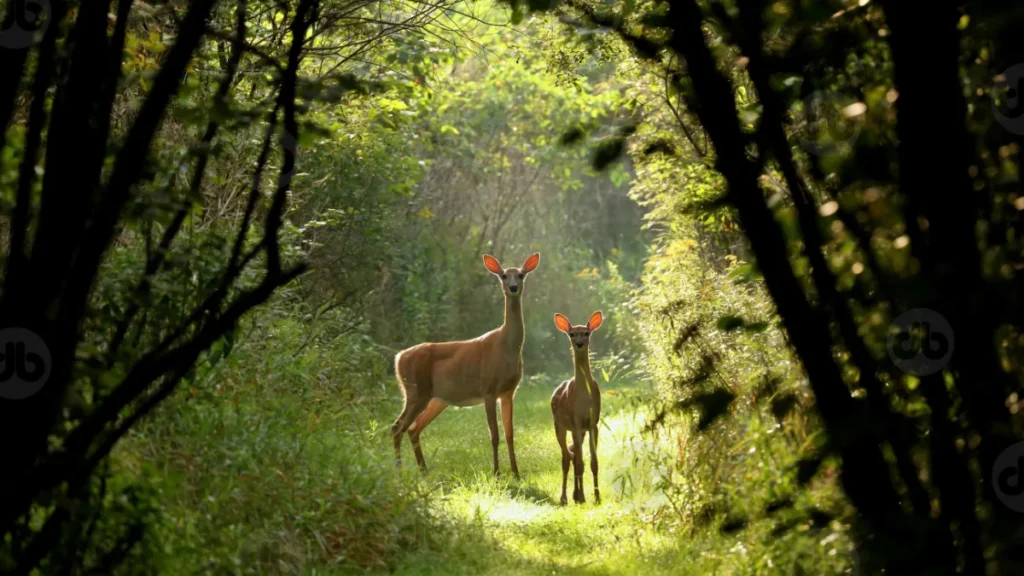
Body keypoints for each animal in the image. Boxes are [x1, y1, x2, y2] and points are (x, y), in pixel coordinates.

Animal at [389, 251, 540, 475]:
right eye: (504, 275)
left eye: (520, 275)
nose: (513, 287)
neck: (507, 346)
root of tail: (398, 358)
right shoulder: (488, 389)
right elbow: (494, 435)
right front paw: (496, 473)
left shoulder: (508, 392)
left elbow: (510, 434)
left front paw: (516, 473)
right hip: (415, 391)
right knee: (397, 427)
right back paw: (399, 473)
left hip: (436, 399)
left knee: (413, 428)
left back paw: (424, 471)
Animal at [548, 309, 602, 502]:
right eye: (571, 334)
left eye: (586, 333)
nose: (579, 343)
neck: (584, 398)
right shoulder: (576, 421)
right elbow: (579, 462)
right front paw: (584, 496)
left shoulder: (593, 423)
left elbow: (593, 462)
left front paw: (597, 496)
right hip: (559, 425)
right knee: (566, 457)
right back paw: (565, 497)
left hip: (578, 430)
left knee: (573, 455)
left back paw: (575, 494)